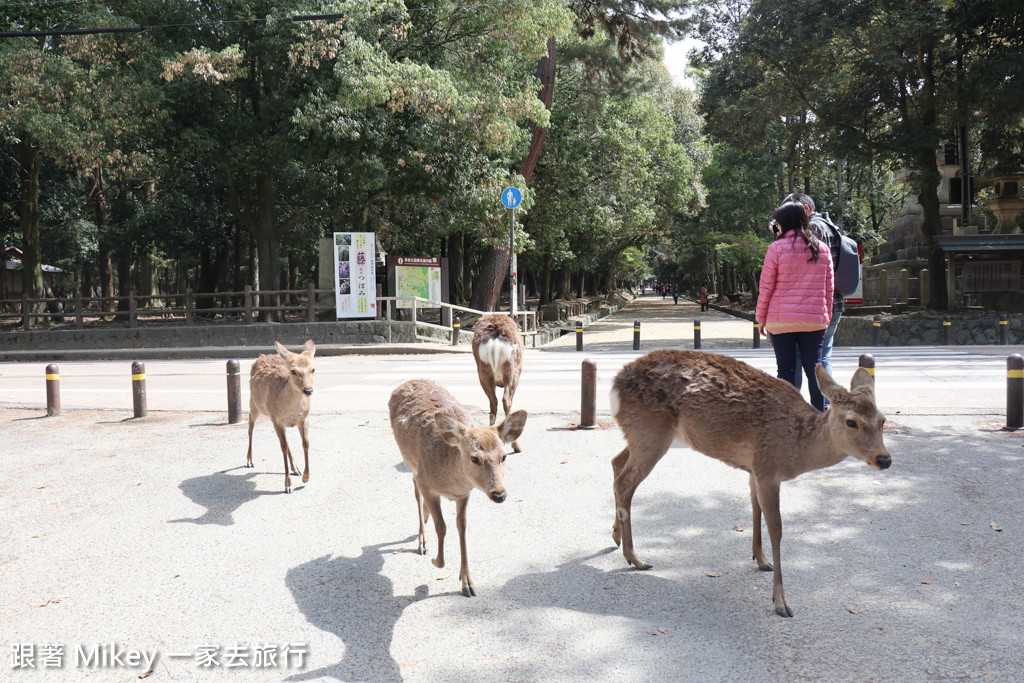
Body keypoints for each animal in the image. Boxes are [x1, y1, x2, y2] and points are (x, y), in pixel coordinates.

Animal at [244, 339, 315, 491]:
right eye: (293, 371)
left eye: (313, 369)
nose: (308, 390)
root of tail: (262, 355)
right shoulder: (276, 419)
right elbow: (283, 447)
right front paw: (287, 484)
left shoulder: (304, 417)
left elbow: (305, 443)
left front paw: (306, 477)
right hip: (254, 404)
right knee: (250, 427)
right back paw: (250, 460)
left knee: (287, 442)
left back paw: (296, 468)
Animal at [385, 378, 524, 598]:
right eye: (474, 458)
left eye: (504, 456)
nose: (499, 494)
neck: (451, 481)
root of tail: (408, 382)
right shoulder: (427, 482)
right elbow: (441, 526)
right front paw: (436, 561)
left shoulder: (464, 494)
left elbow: (462, 527)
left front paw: (467, 583)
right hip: (411, 464)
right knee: (415, 491)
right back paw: (422, 541)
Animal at [606, 350, 888, 618]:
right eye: (851, 422)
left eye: (882, 420)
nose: (884, 459)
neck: (797, 449)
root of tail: (615, 385)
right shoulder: (768, 469)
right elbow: (777, 529)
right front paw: (781, 603)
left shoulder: (754, 469)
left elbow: (754, 507)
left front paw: (761, 559)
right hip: (650, 431)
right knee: (625, 483)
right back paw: (635, 558)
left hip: (641, 435)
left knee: (616, 462)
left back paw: (617, 536)